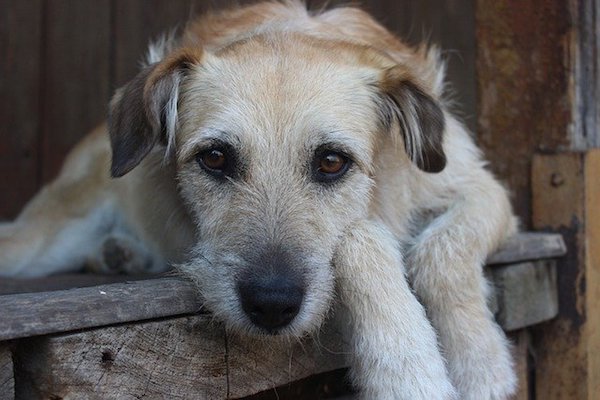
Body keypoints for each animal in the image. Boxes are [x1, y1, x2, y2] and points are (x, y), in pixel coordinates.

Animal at [0, 1, 516, 398]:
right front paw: (408, 370)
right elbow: (363, 236)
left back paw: (119, 253)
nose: (271, 304)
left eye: (332, 162)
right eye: (214, 158)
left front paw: (478, 361)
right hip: (41, 240)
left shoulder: (483, 189)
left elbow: (440, 252)